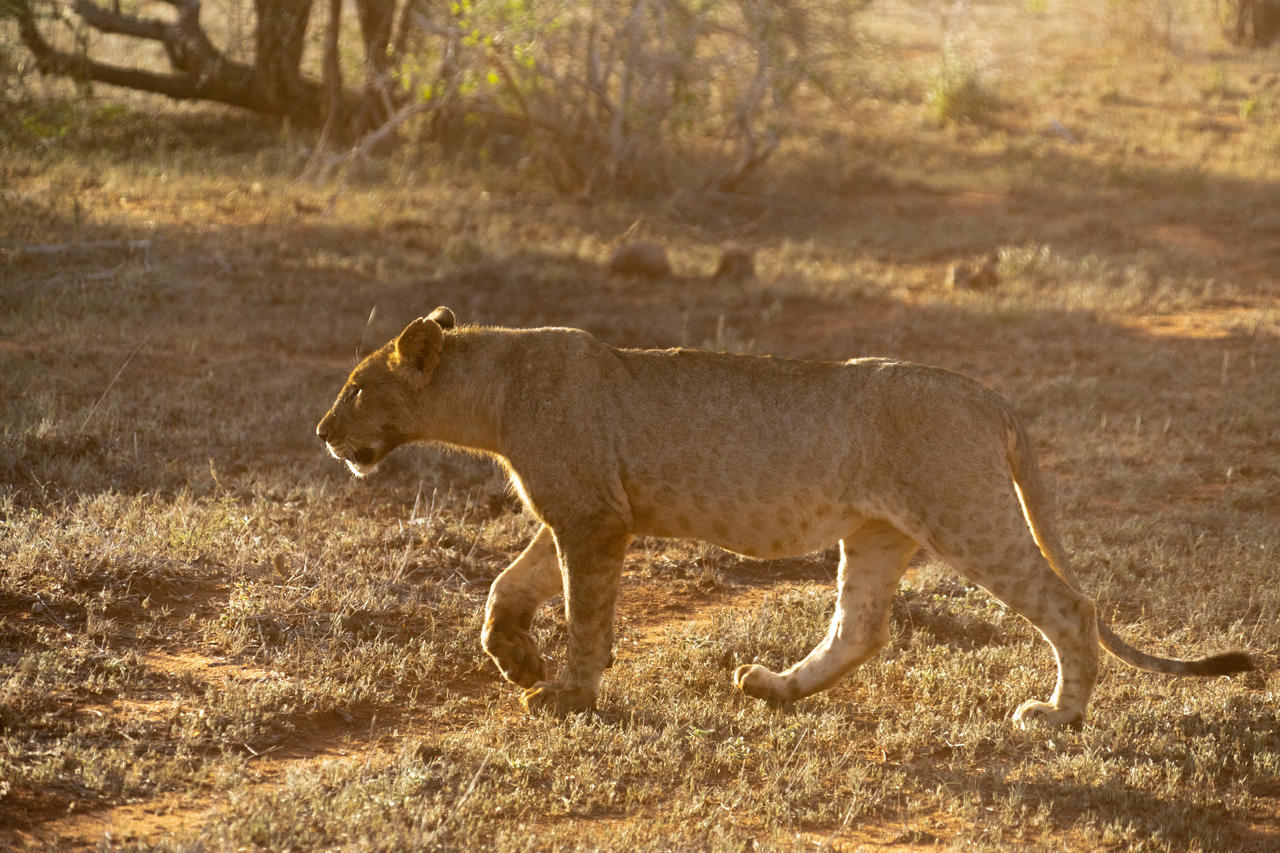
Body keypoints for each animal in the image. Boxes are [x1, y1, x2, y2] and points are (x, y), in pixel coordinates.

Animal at [317, 306, 1249, 722]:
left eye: (357, 387)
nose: (323, 432)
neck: (493, 388)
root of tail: (987, 395)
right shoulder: (587, 512)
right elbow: (507, 587)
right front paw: (515, 658)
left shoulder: (593, 519)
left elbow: (583, 611)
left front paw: (570, 690)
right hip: (878, 534)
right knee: (861, 629)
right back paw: (772, 685)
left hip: (966, 512)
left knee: (1070, 606)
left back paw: (1057, 716)